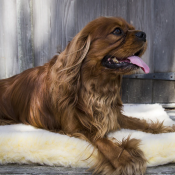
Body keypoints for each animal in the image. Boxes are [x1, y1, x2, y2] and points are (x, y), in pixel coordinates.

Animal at [0, 16, 174, 174]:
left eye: (132, 28)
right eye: (117, 31)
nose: (143, 34)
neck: (96, 87)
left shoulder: (113, 115)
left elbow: (140, 123)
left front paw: (166, 128)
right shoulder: (76, 127)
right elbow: (101, 139)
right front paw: (124, 158)